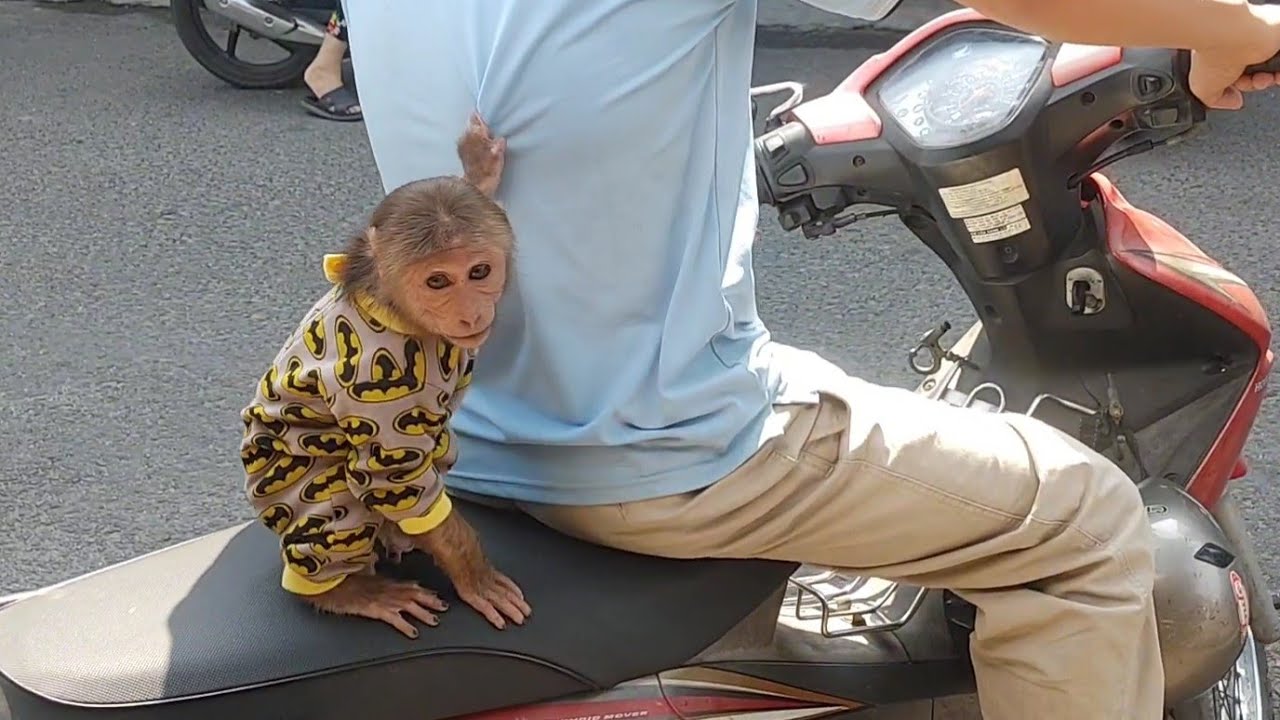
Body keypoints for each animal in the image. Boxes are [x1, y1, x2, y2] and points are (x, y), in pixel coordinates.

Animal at [239, 112, 531, 639]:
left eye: (479, 271)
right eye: (438, 281)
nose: (469, 310)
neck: (401, 314)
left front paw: (478, 169)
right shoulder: (379, 377)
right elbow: (392, 476)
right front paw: (474, 577)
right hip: (286, 500)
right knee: (340, 497)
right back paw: (344, 592)